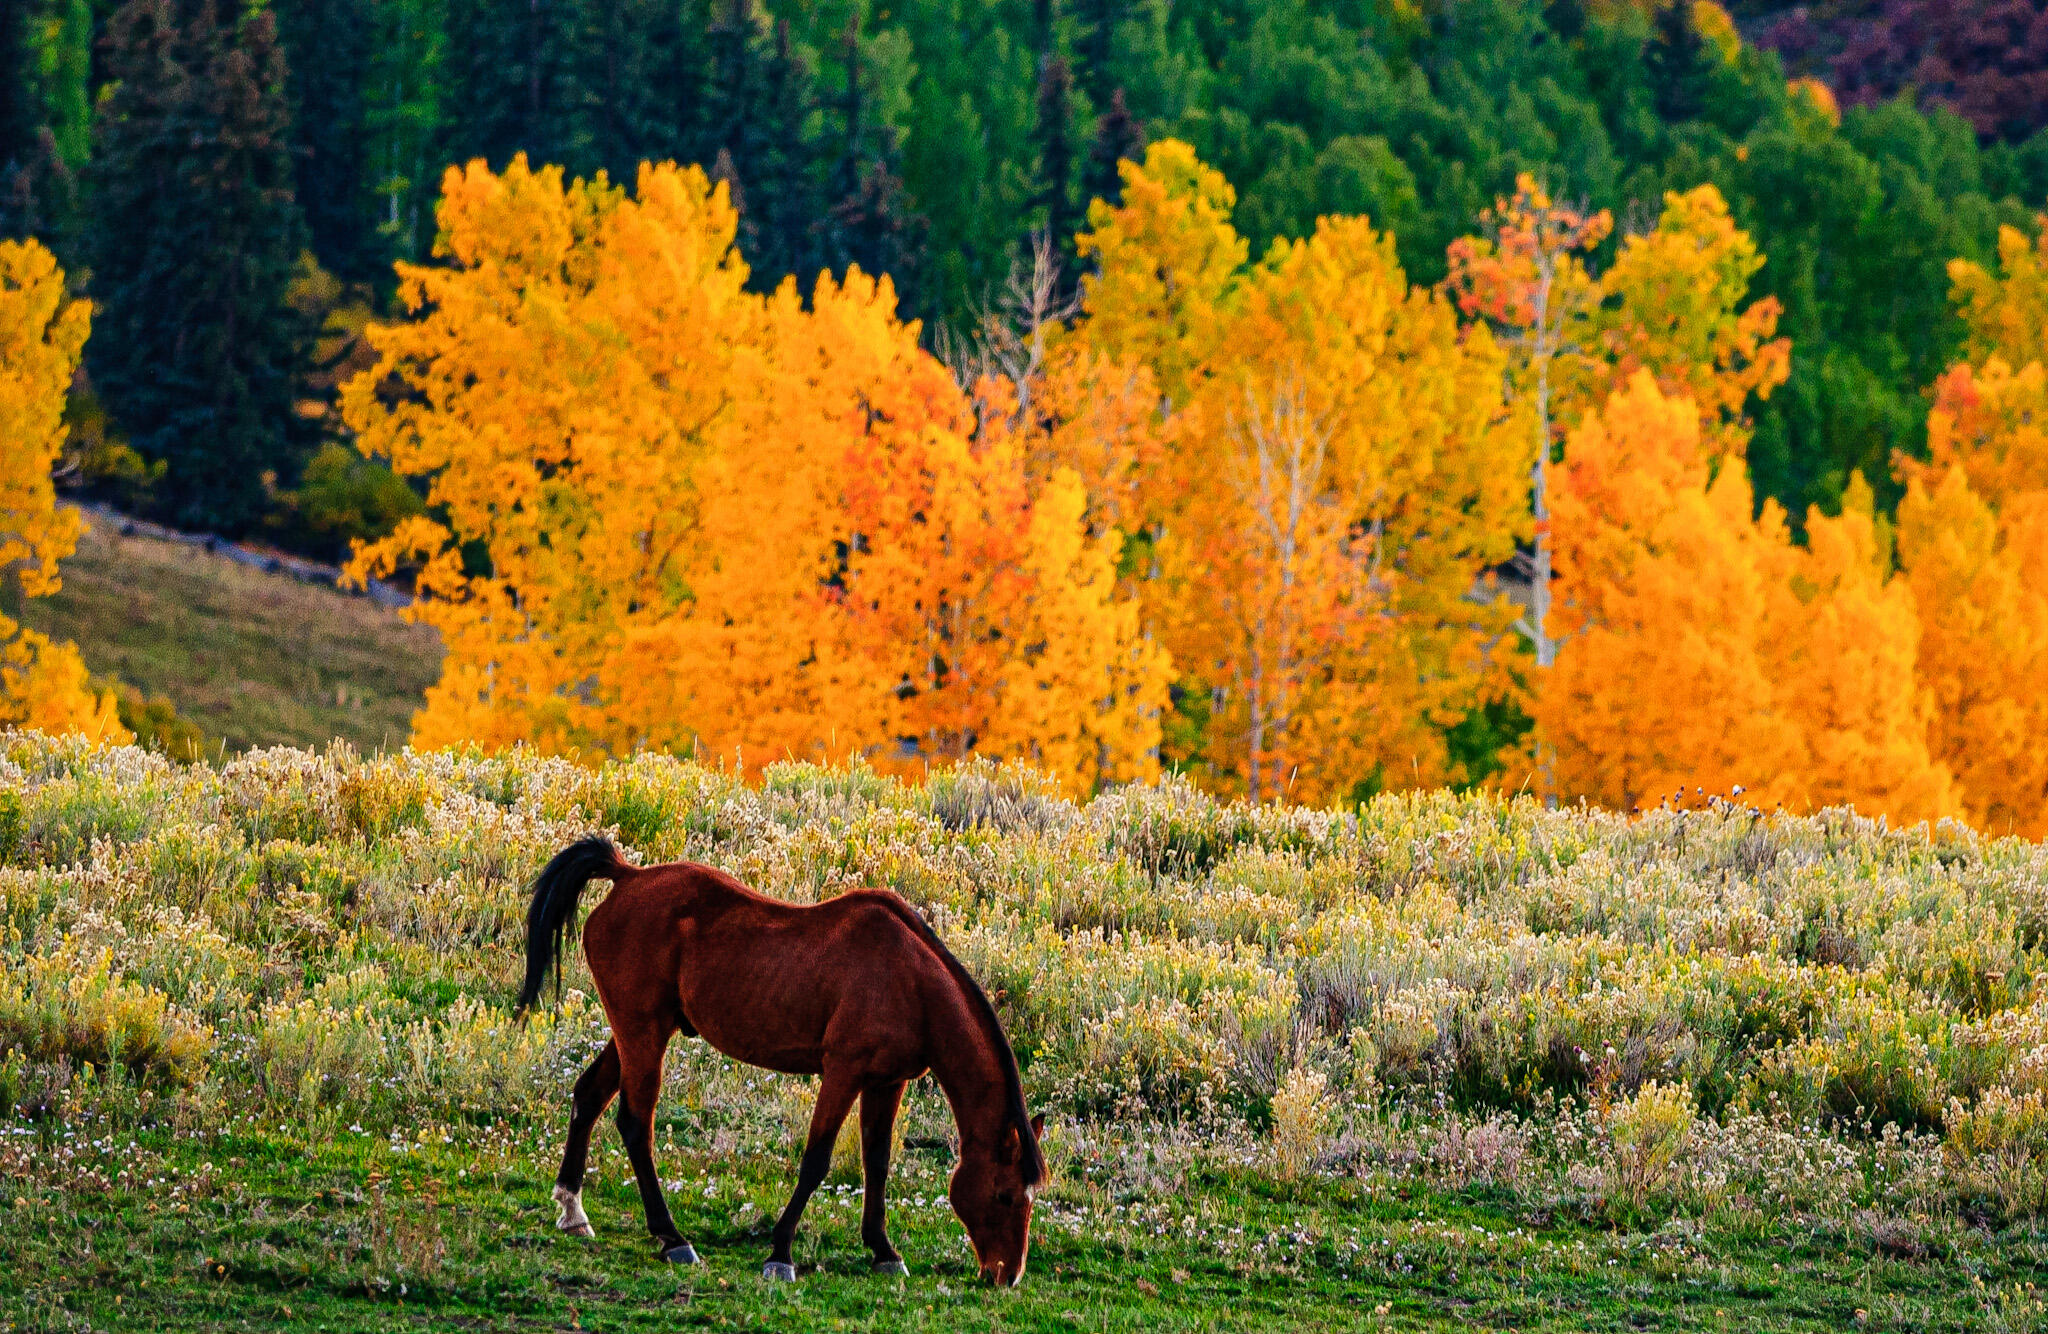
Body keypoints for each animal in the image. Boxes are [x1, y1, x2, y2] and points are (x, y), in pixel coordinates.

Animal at [515, 836, 1046, 1285]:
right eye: (1004, 1195)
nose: (1007, 1276)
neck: (912, 982)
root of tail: (627, 876)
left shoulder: (885, 1082)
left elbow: (877, 1163)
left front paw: (883, 1251)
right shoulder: (843, 1072)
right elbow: (816, 1161)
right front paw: (780, 1253)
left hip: (638, 1031)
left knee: (589, 1096)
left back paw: (573, 1210)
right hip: (642, 1033)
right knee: (634, 1122)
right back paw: (672, 1238)